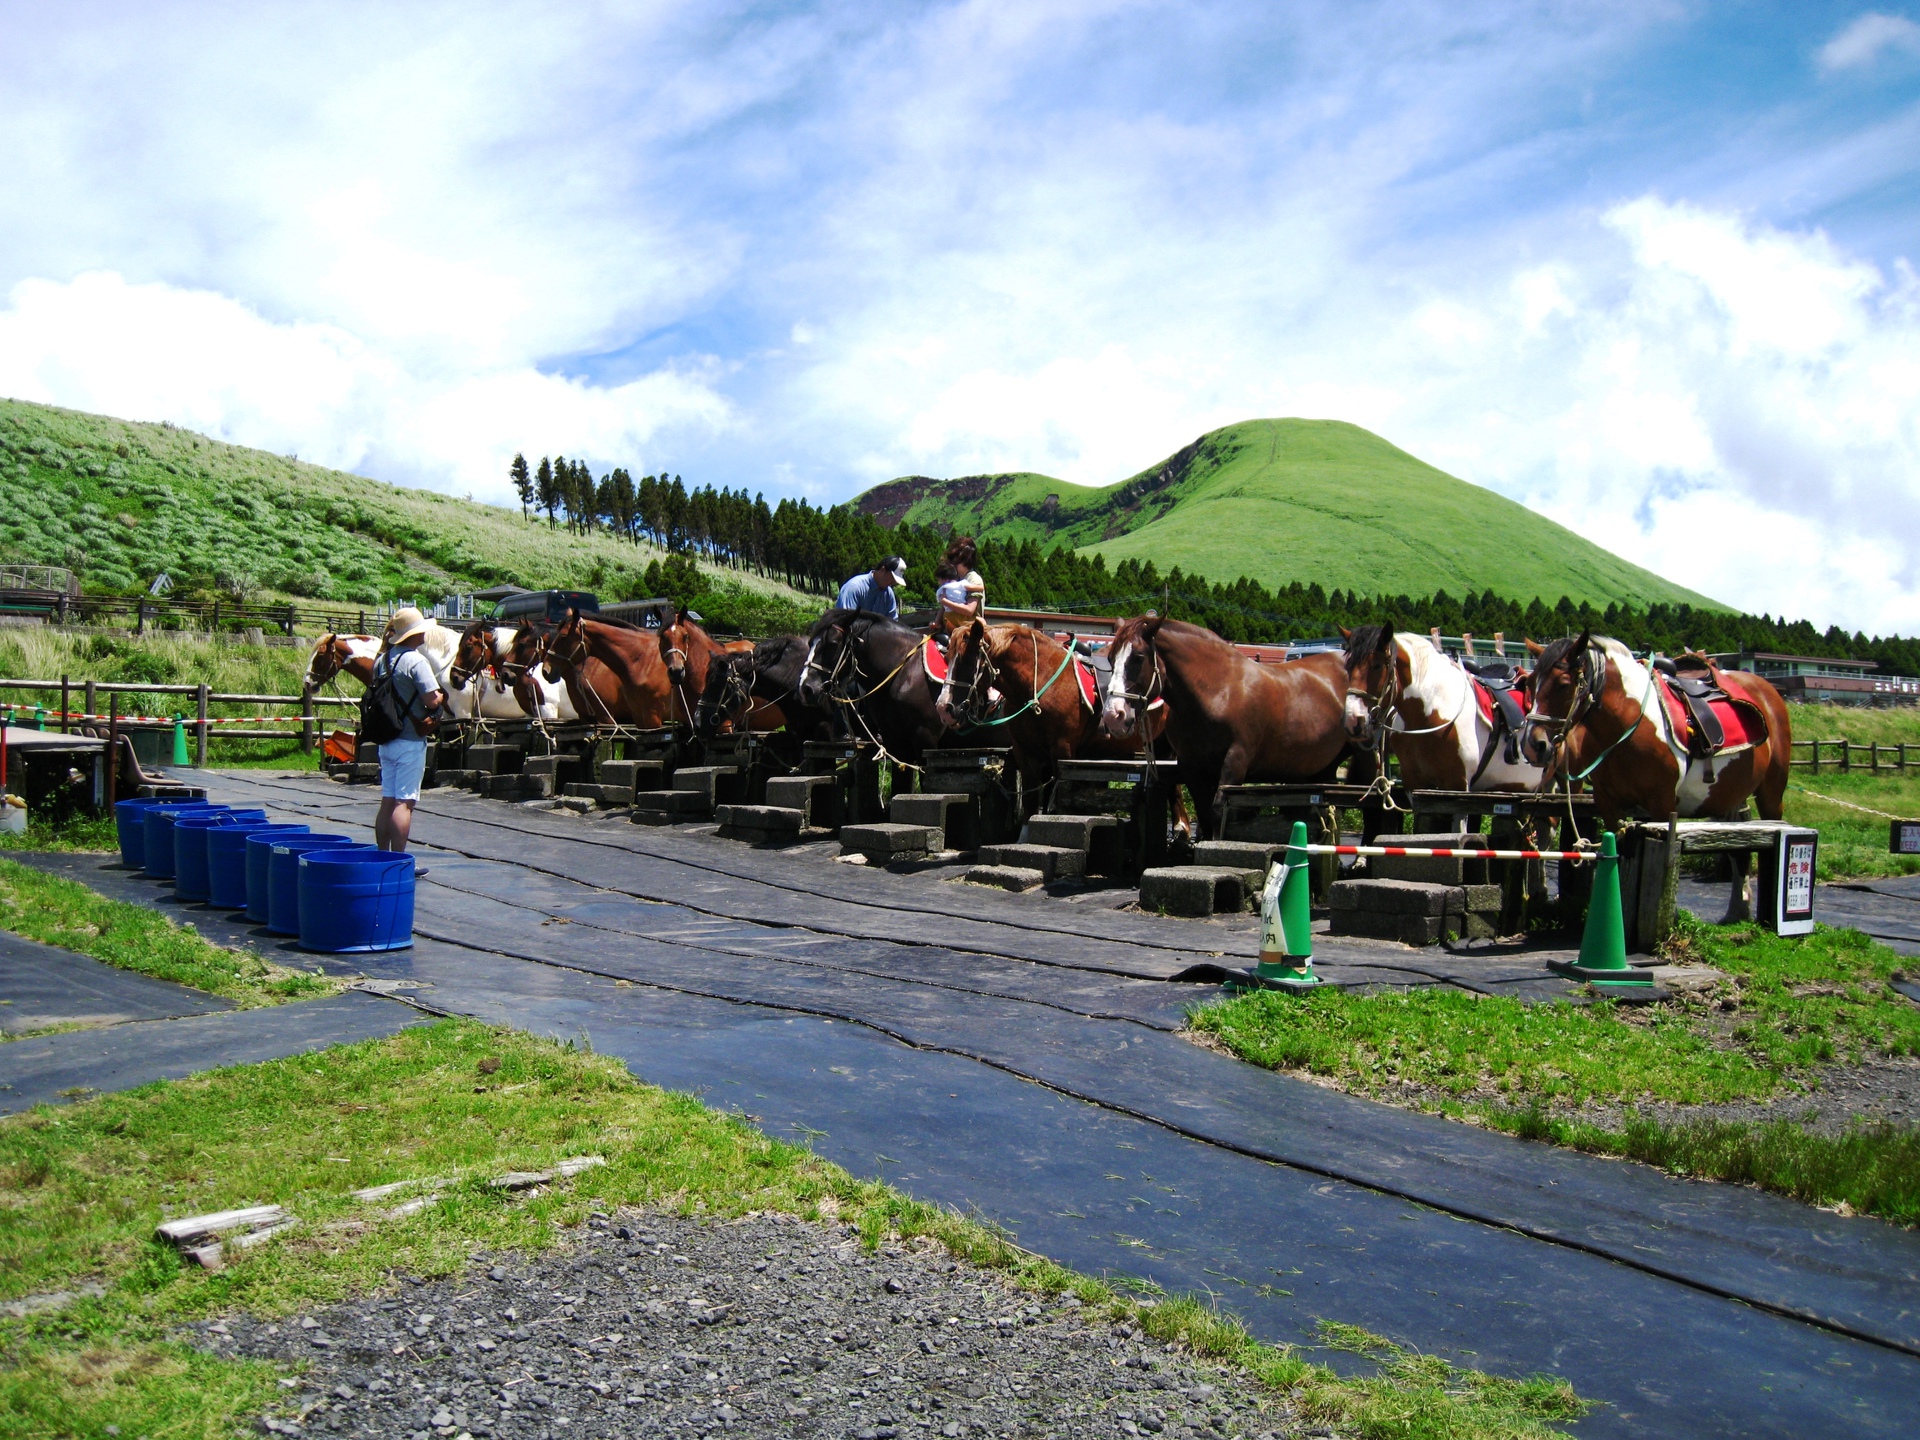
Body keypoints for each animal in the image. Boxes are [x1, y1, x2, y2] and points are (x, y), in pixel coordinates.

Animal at [791, 610, 948, 768]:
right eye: (810, 643)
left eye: (832, 644)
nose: (805, 689)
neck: (906, 671)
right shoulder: (895, 742)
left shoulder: (925, 740)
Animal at [1098, 618, 1351, 840]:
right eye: (1110, 658)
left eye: (1138, 657)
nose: (1113, 715)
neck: (1218, 692)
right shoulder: (1193, 767)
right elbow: (1204, 813)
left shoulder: (1236, 761)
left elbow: (1218, 811)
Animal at [1520, 629, 1789, 925]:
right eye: (1530, 683)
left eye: (1563, 684)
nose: (1533, 745)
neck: (1627, 724)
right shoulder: (1609, 804)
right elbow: (1615, 854)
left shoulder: (1661, 804)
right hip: (1731, 795)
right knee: (1738, 844)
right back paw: (1737, 910)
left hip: (1771, 793)